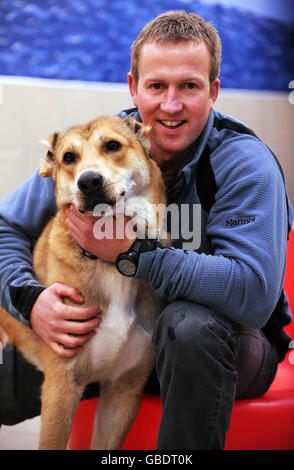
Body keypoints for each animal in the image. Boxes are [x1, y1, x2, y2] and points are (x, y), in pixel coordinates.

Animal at [0, 115, 167, 450]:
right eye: (69, 158)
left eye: (112, 145)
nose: (88, 182)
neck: (108, 264)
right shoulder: (62, 388)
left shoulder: (123, 390)